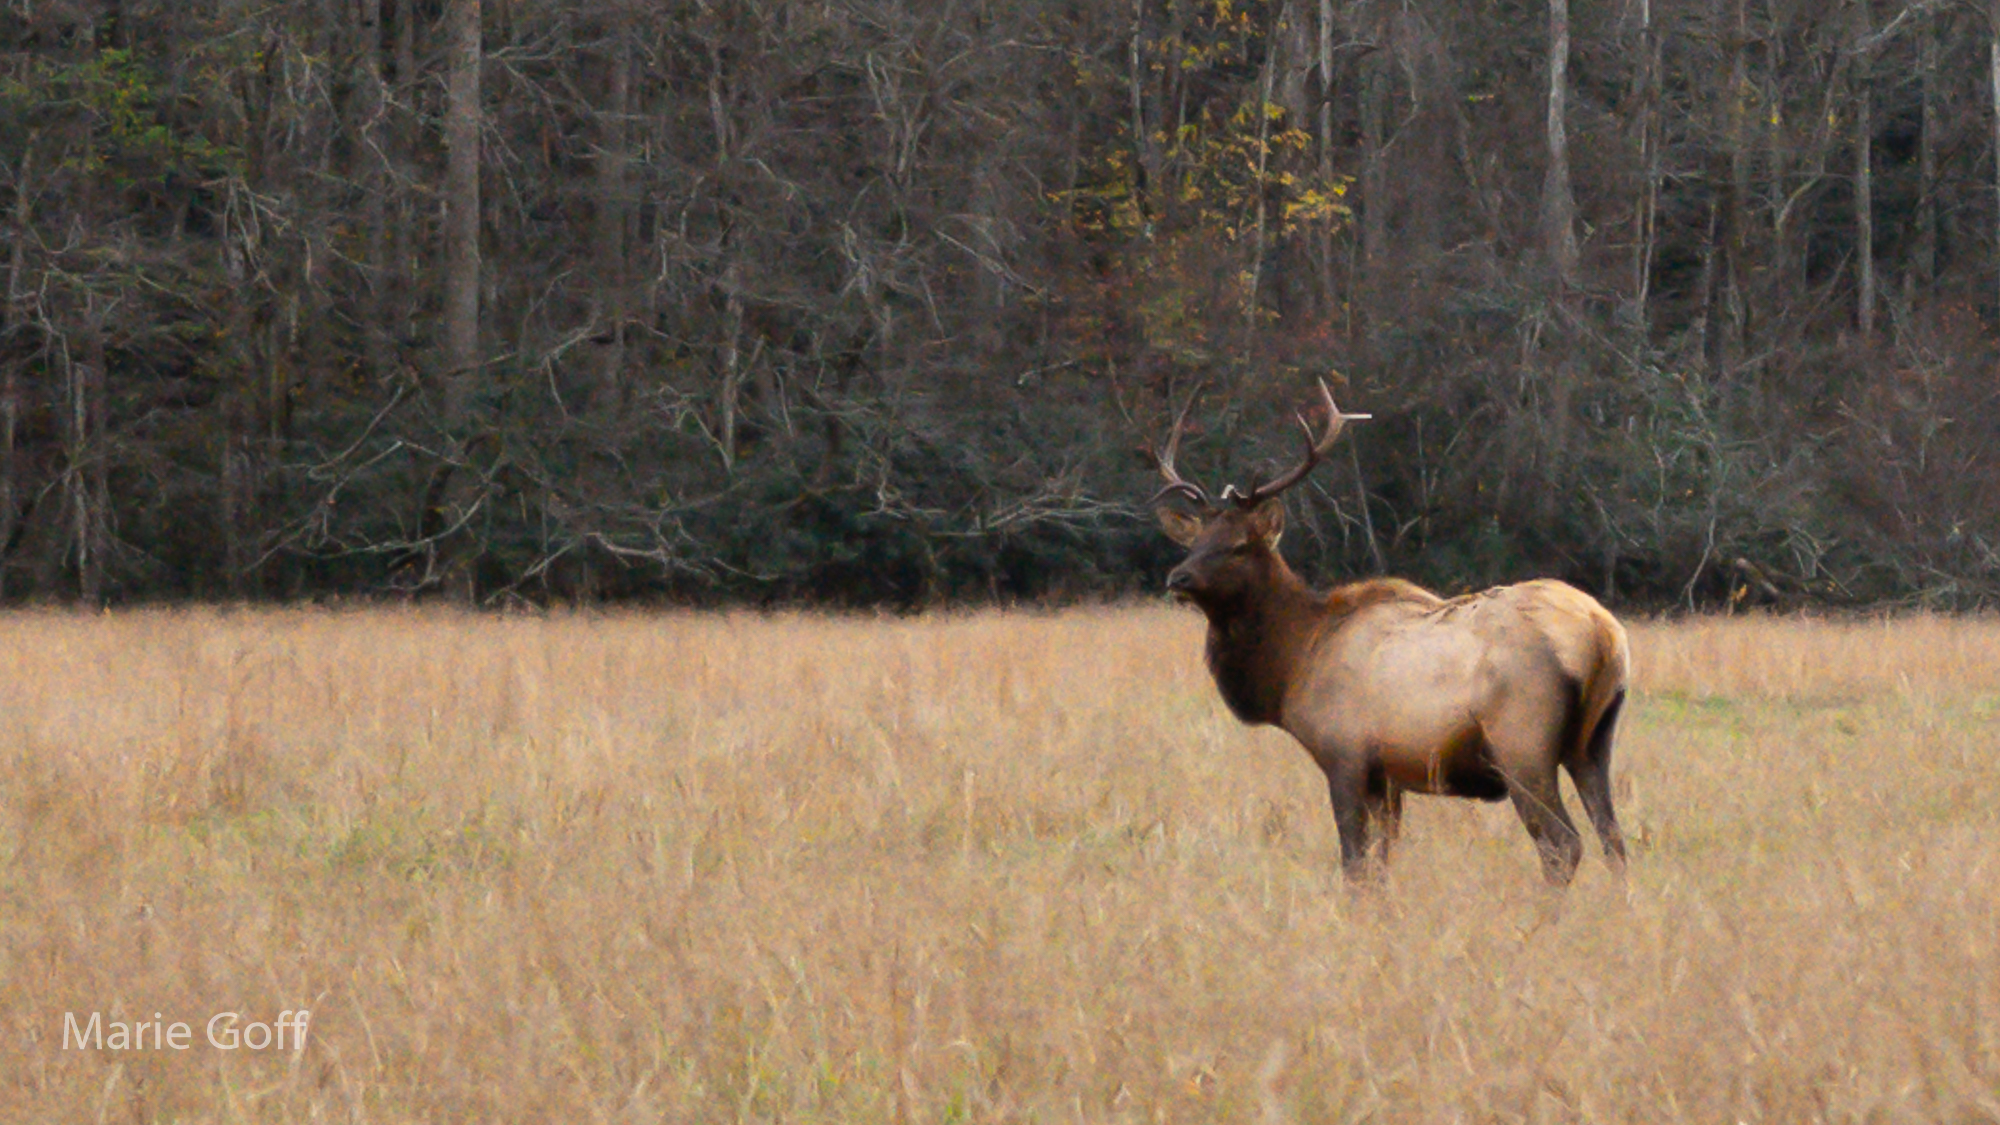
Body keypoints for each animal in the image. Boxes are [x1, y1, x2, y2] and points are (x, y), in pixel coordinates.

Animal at [1148, 380, 1630, 886]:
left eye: (1240, 546)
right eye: (1194, 541)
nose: (1177, 578)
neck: (1295, 660)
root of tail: (1604, 635)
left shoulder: (1345, 756)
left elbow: (1355, 863)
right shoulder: (1388, 776)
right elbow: (1382, 864)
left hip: (1522, 742)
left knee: (1562, 843)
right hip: (1594, 743)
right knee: (1614, 839)